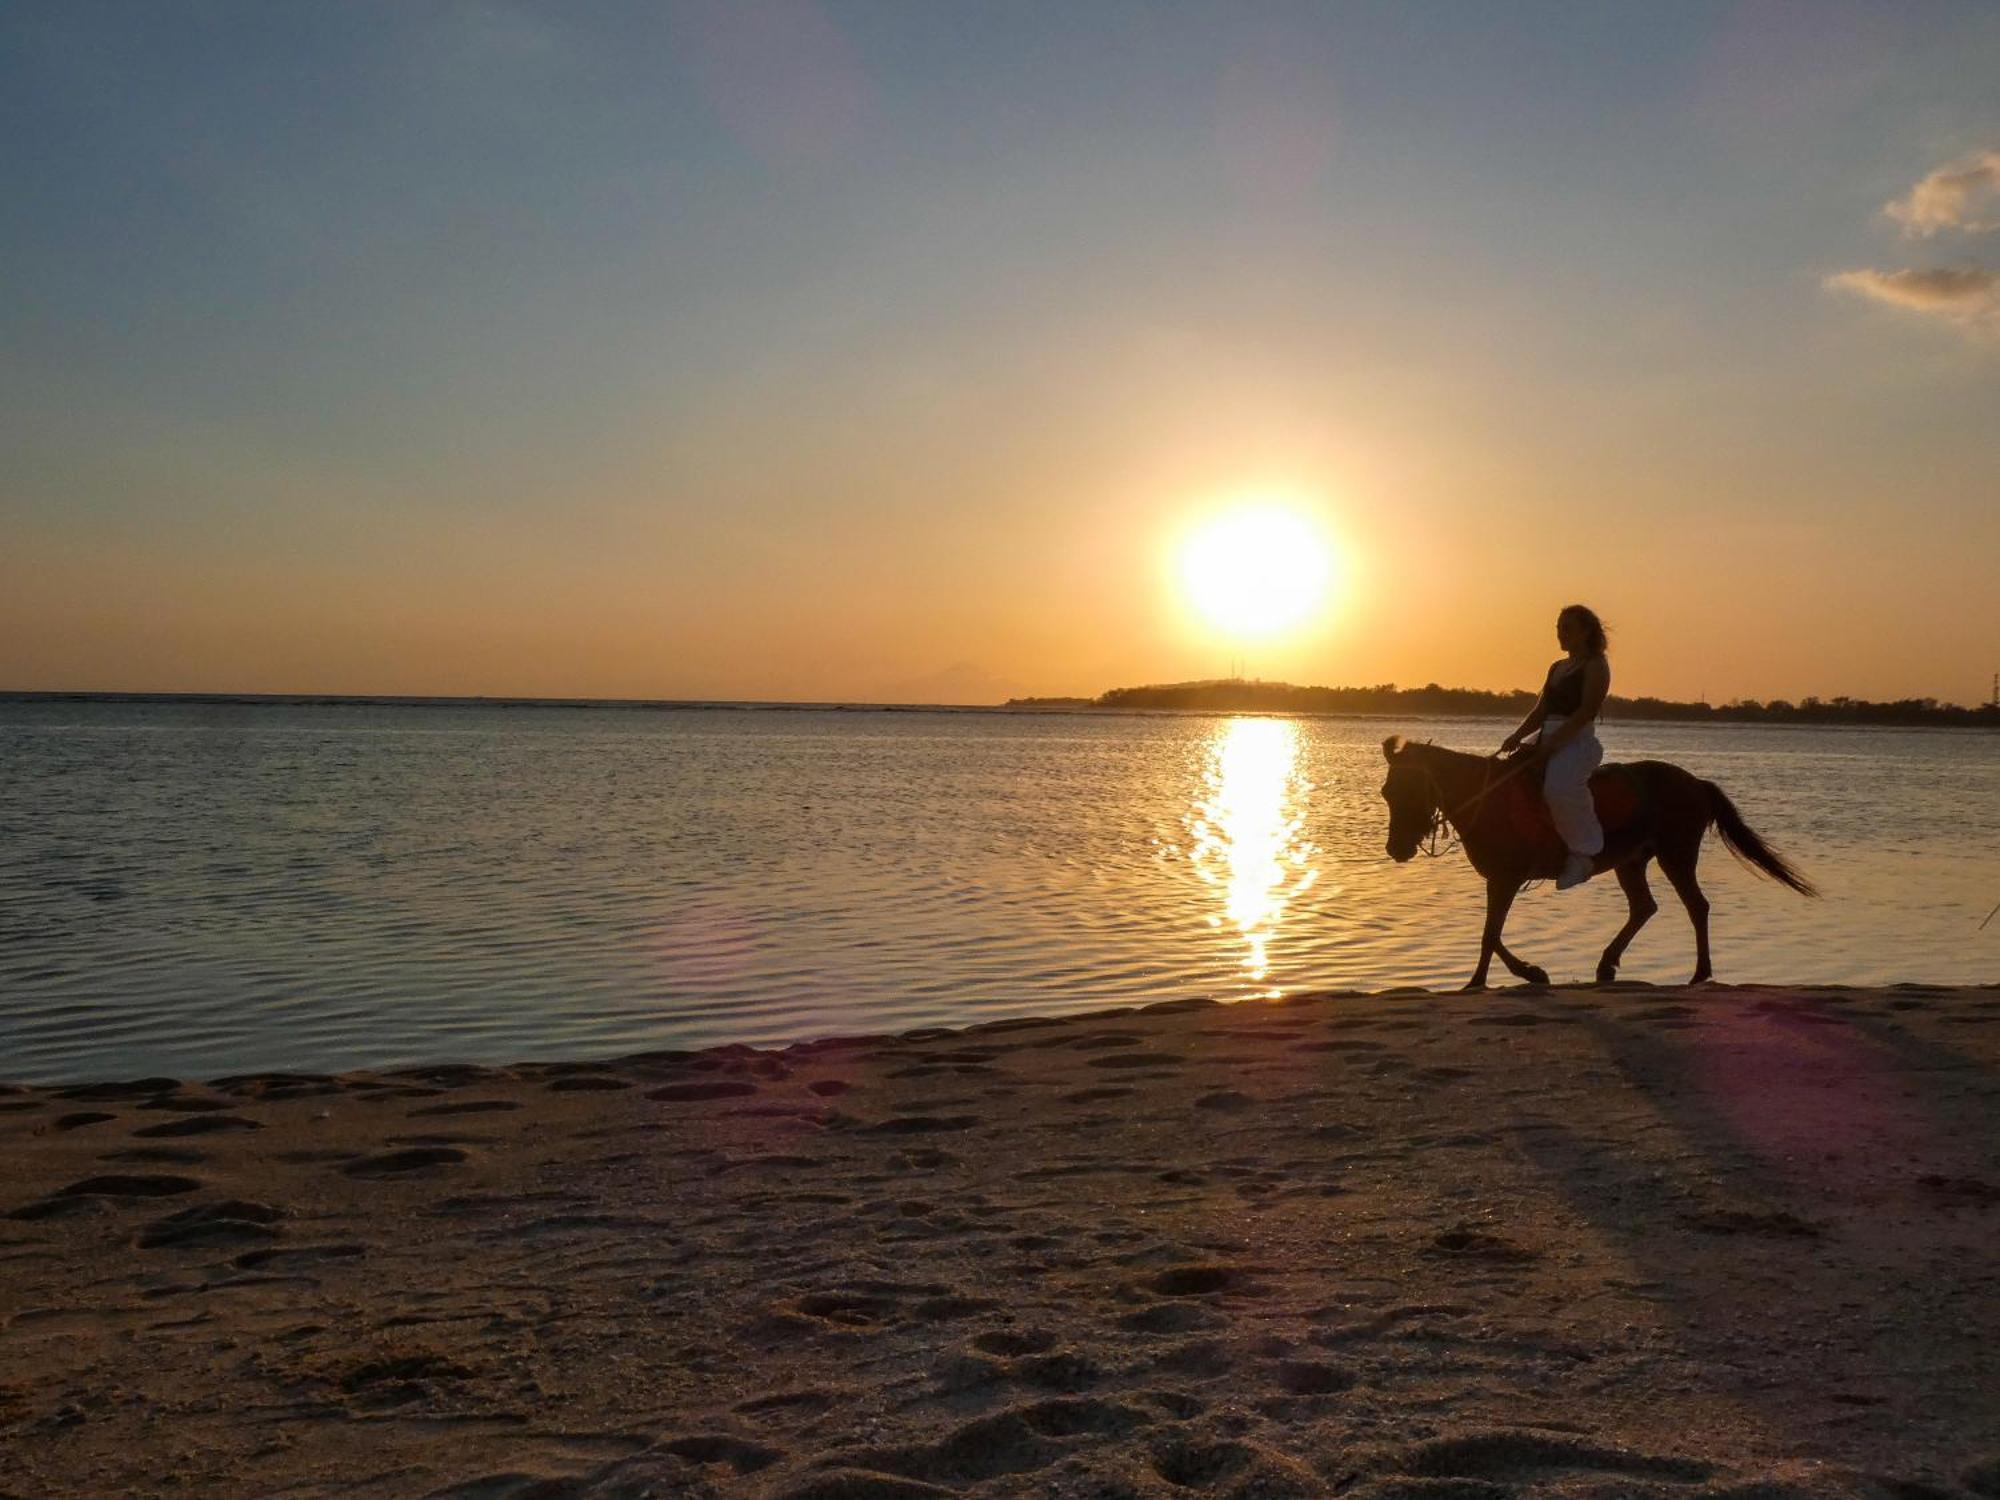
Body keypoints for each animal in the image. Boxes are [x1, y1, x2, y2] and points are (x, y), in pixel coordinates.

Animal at [1384, 736, 1824, 992]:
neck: (1486, 795)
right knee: (1644, 907)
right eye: (1387, 791)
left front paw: (1497, 979)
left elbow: (1490, 935)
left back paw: (1699, 973)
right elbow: (1492, 934)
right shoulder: (1500, 879)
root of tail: (1697, 784)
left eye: (1412, 789)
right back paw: (1607, 964)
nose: (1396, 850)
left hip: (1677, 854)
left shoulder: (1505, 879)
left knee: (1696, 906)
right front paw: (1509, 975)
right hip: (1631, 861)